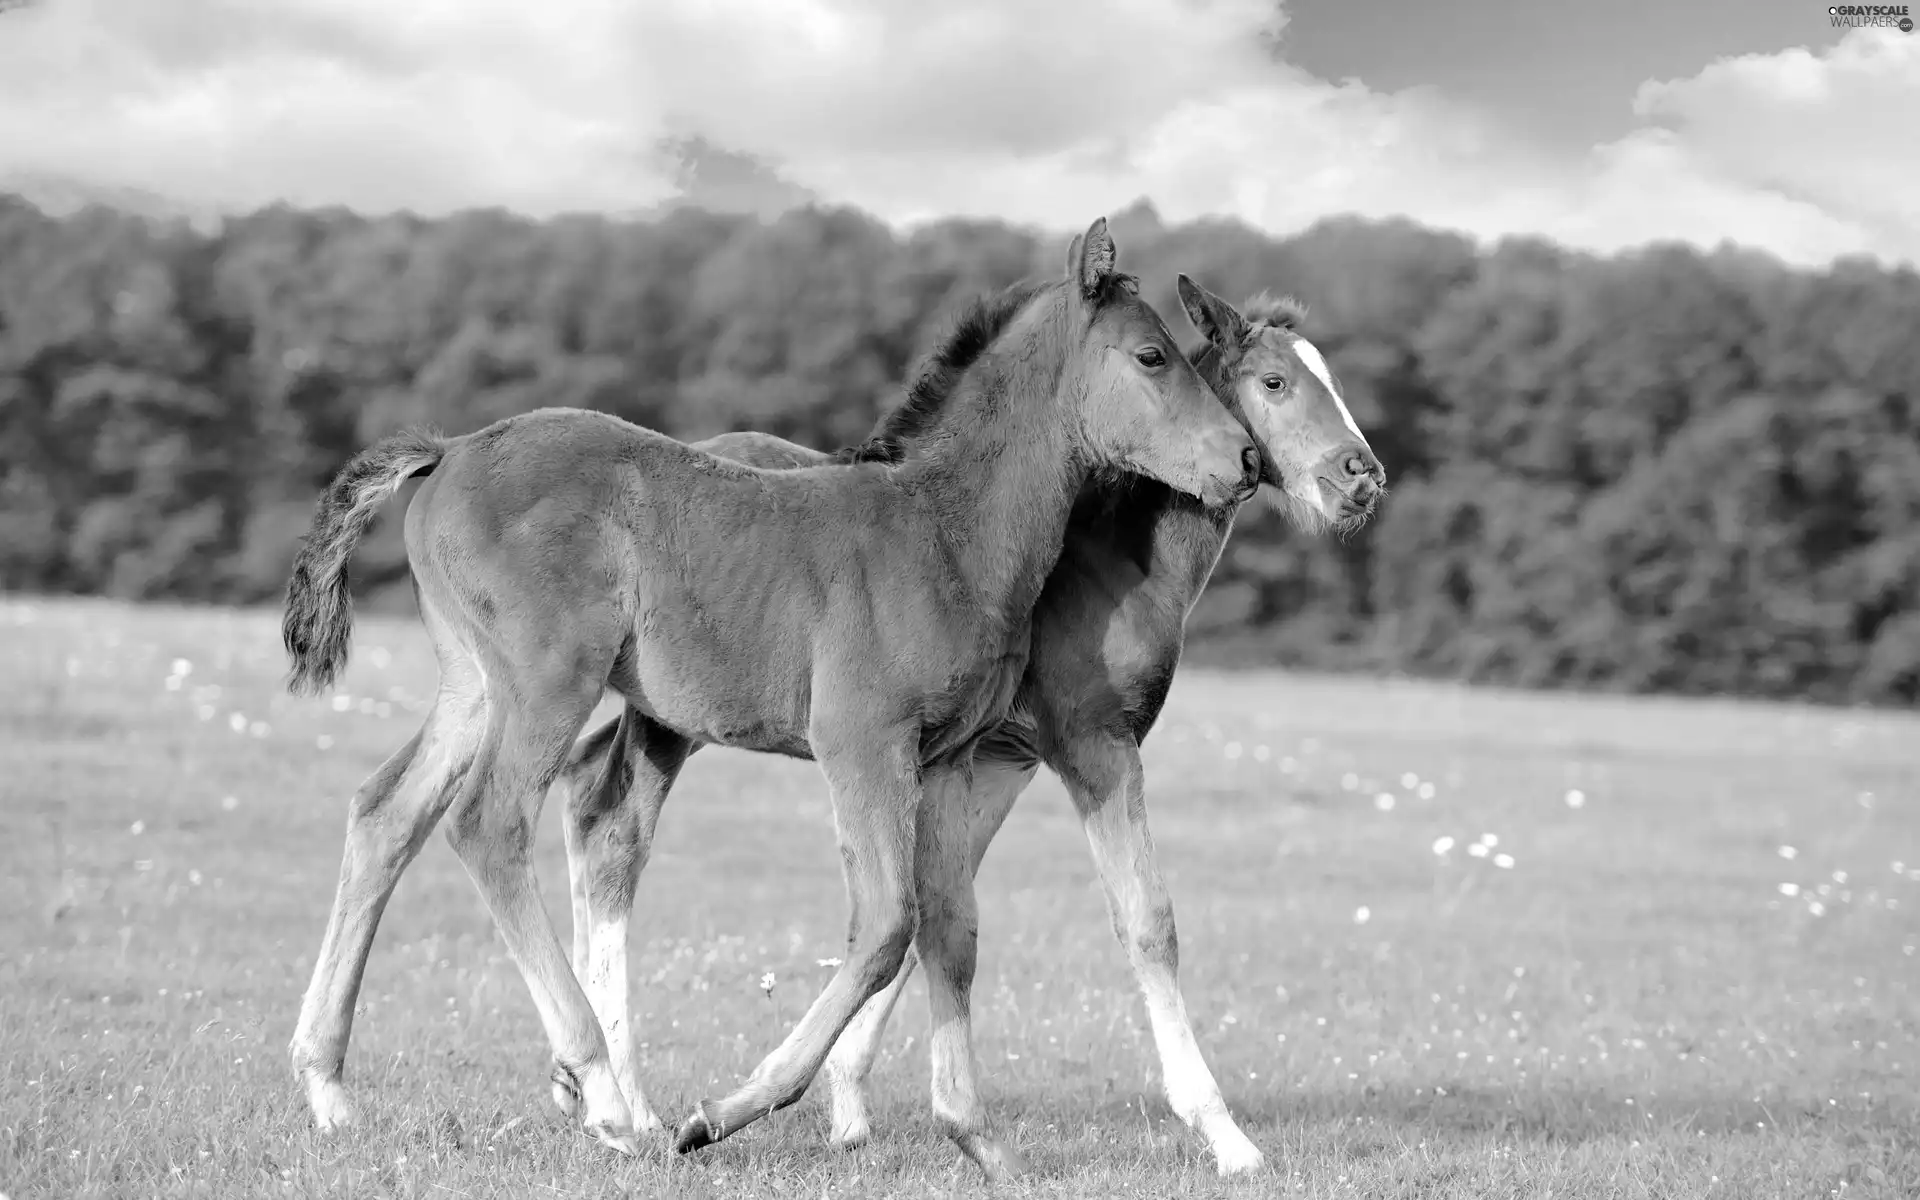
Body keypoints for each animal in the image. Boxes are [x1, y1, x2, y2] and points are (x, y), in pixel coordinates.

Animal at [278, 219, 1251, 1175]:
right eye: (1153, 356)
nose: (1243, 457)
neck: (946, 531)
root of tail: (448, 451)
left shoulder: (945, 759)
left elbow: (949, 927)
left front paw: (977, 1136)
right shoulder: (862, 743)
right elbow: (886, 925)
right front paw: (720, 1114)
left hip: (473, 686)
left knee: (386, 815)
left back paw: (328, 1089)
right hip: (547, 681)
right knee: (487, 823)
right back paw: (605, 1099)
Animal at [560, 270, 1397, 1167]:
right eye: (1275, 382)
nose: (1361, 476)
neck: (1100, 564)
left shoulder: (996, 760)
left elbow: (935, 914)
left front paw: (853, 1106)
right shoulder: (1091, 744)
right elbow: (1144, 920)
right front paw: (1223, 1133)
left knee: (584, 792)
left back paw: (583, 1083)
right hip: (672, 719)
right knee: (615, 832)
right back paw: (626, 1102)